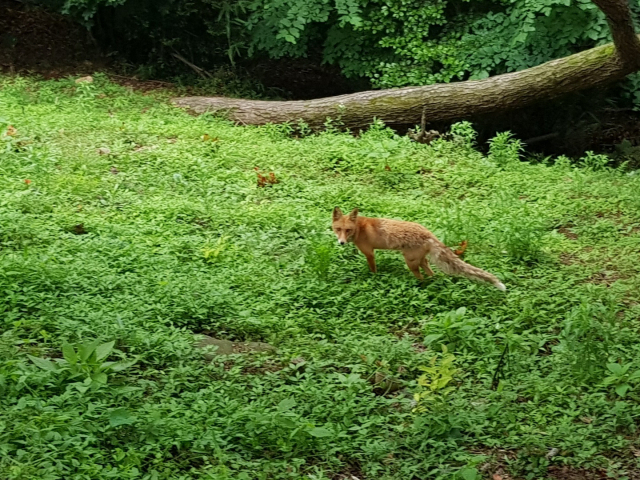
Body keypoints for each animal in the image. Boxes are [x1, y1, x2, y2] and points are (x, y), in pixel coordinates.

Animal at [332, 207, 506, 291]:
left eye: (348, 230)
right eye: (338, 229)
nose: (341, 243)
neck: (359, 228)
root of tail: (428, 232)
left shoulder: (369, 253)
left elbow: (373, 269)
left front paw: (374, 278)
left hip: (410, 262)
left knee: (421, 277)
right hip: (420, 260)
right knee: (431, 273)